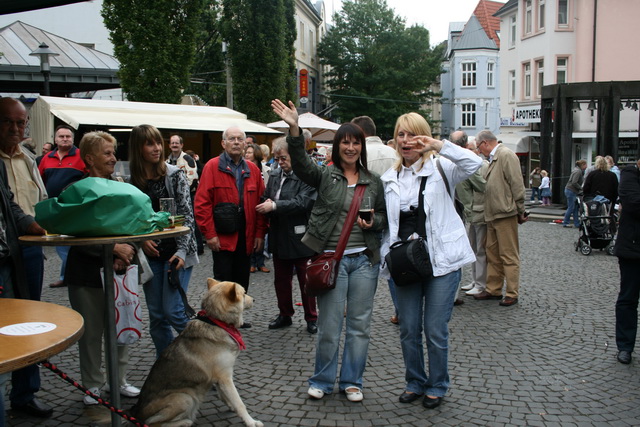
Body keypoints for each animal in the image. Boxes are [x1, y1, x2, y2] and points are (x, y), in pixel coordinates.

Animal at [130, 280, 262, 426]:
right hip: (185, 397)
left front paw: (230, 405)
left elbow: (225, 395)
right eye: (243, 293)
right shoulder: (224, 376)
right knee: (153, 423)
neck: (217, 322)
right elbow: (239, 403)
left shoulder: (221, 377)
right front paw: (251, 421)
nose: (254, 300)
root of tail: (136, 412)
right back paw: (185, 421)